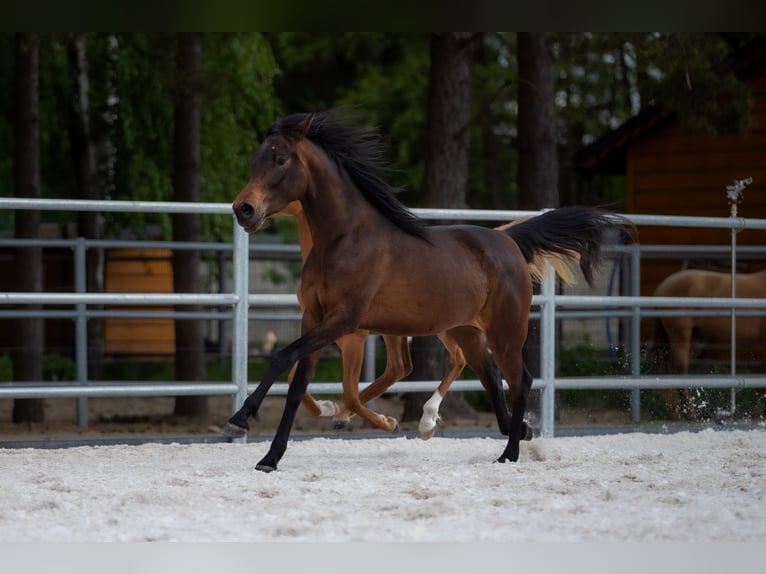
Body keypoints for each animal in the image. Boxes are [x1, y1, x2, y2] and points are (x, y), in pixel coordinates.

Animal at [225, 109, 631, 472]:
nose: (243, 209)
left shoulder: (345, 321)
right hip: (466, 330)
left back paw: (509, 453)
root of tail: (508, 240)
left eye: (280, 159)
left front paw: (241, 418)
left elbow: (282, 357)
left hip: (505, 331)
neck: (343, 240)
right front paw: (269, 457)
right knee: (490, 374)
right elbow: (296, 384)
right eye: (255, 159)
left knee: (520, 380)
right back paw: (514, 434)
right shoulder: (314, 318)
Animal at [651, 268, 766, 420]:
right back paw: (691, 415)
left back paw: (674, 414)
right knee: (679, 373)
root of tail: (661, 287)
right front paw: (756, 415)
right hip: (681, 338)